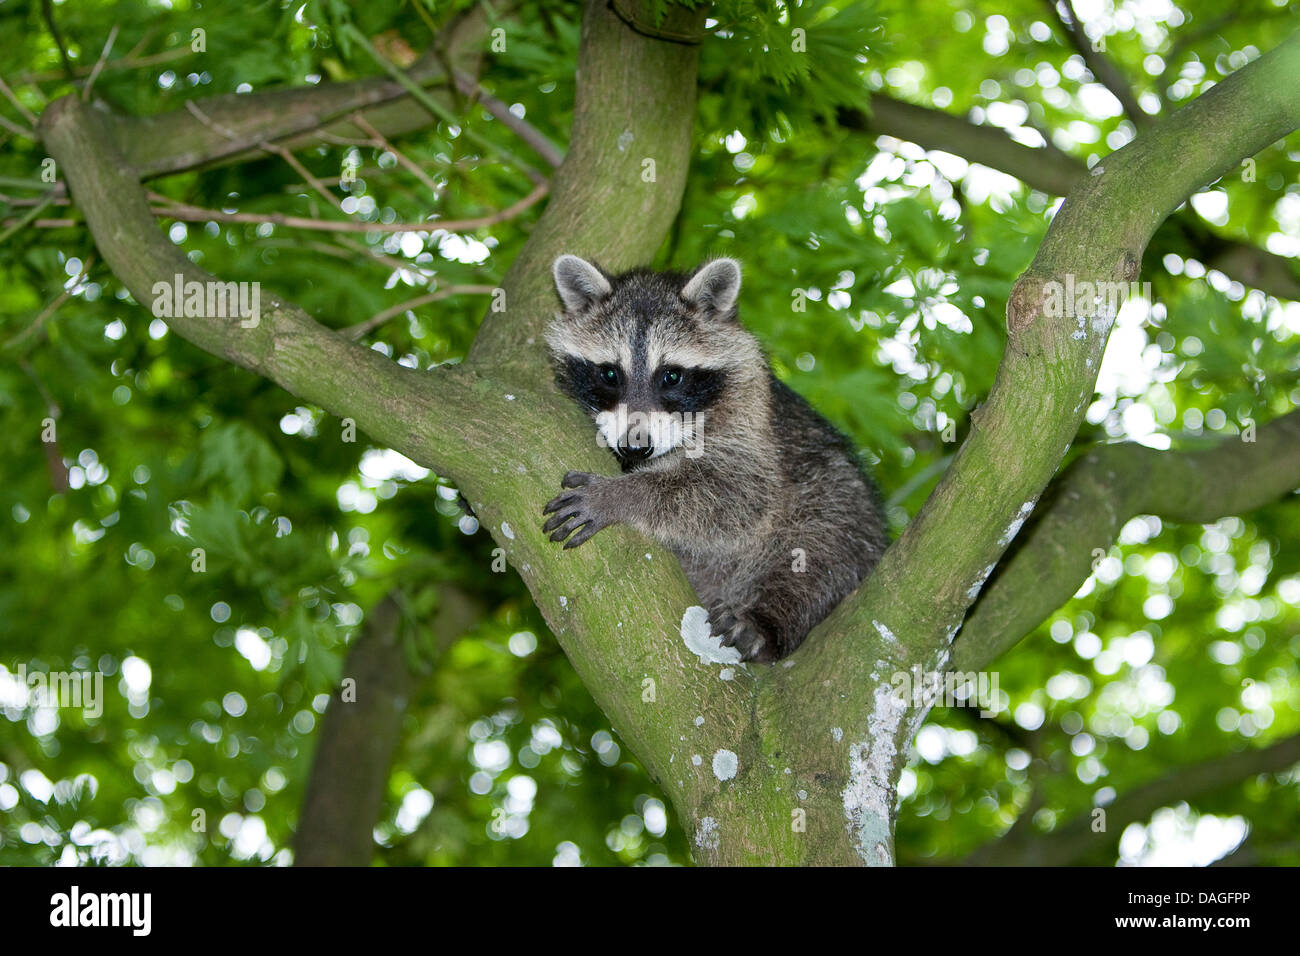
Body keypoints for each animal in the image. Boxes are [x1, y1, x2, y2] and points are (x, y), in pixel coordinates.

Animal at [541, 255, 889, 662]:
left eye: (671, 376)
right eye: (610, 374)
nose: (635, 447)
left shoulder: (752, 416)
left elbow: (739, 492)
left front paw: (623, 496)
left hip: (843, 508)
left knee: (823, 543)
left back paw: (767, 621)